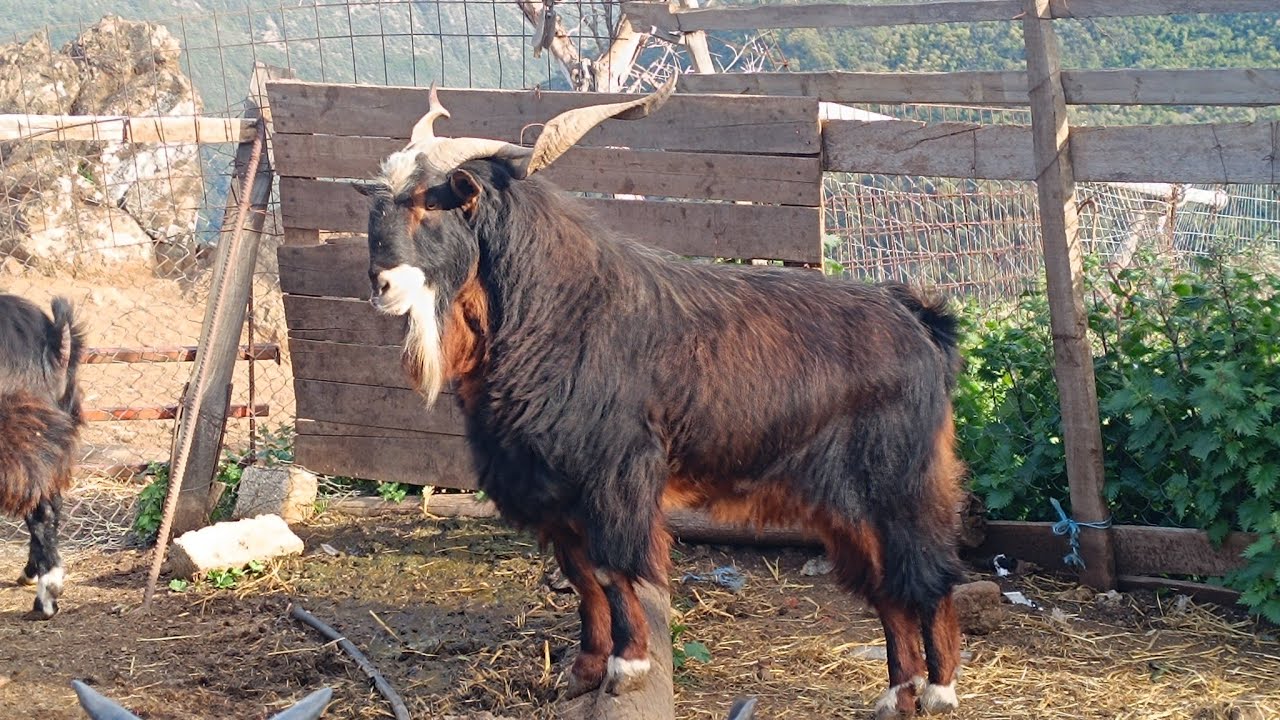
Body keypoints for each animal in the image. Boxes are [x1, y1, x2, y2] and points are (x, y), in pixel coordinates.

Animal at [354, 80, 966, 718]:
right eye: (382, 201)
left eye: (432, 203)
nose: (381, 284)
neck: (560, 311)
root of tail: (919, 321)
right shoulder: (556, 491)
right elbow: (582, 578)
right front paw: (584, 670)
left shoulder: (614, 478)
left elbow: (613, 569)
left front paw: (627, 667)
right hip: (845, 508)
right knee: (888, 589)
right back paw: (898, 694)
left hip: (900, 484)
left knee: (931, 575)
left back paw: (940, 690)